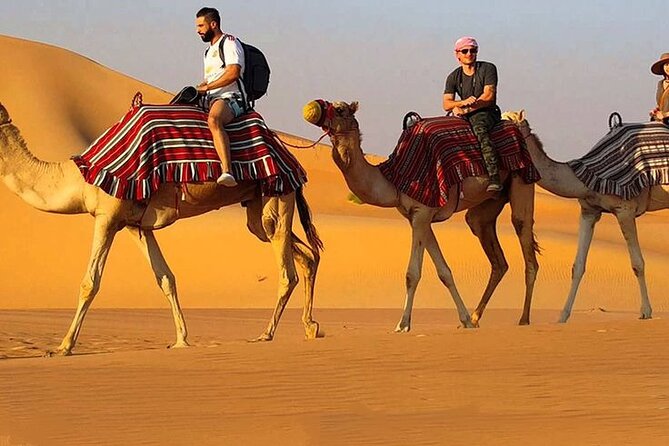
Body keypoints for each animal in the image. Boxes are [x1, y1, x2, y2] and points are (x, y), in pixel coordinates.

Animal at [0, 102, 323, 355]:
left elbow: (90, 282)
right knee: (305, 255)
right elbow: (165, 278)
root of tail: (288, 154)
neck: (81, 178)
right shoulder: (135, 225)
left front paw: (63, 346)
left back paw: (266, 334)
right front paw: (181, 339)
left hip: (277, 194)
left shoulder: (107, 216)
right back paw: (311, 327)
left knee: (287, 271)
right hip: (259, 206)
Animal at [303, 100, 540, 330]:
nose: (313, 108)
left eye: (340, 109)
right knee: (494, 252)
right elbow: (444, 271)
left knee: (525, 238)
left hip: (522, 178)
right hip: (489, 203)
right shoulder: (419, 218)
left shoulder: (422, 213)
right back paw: (476, 317)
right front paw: (464, 320)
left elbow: (412, 273)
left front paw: (403, 324)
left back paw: (524, 319)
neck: (393, 179)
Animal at [503, 110, 664, 322]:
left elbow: (637, 263)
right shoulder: (589, 211)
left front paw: (645, 311)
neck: (584, 178)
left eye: (507, 120)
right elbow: (577, 266)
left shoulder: (625, 209)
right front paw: (562, 316)